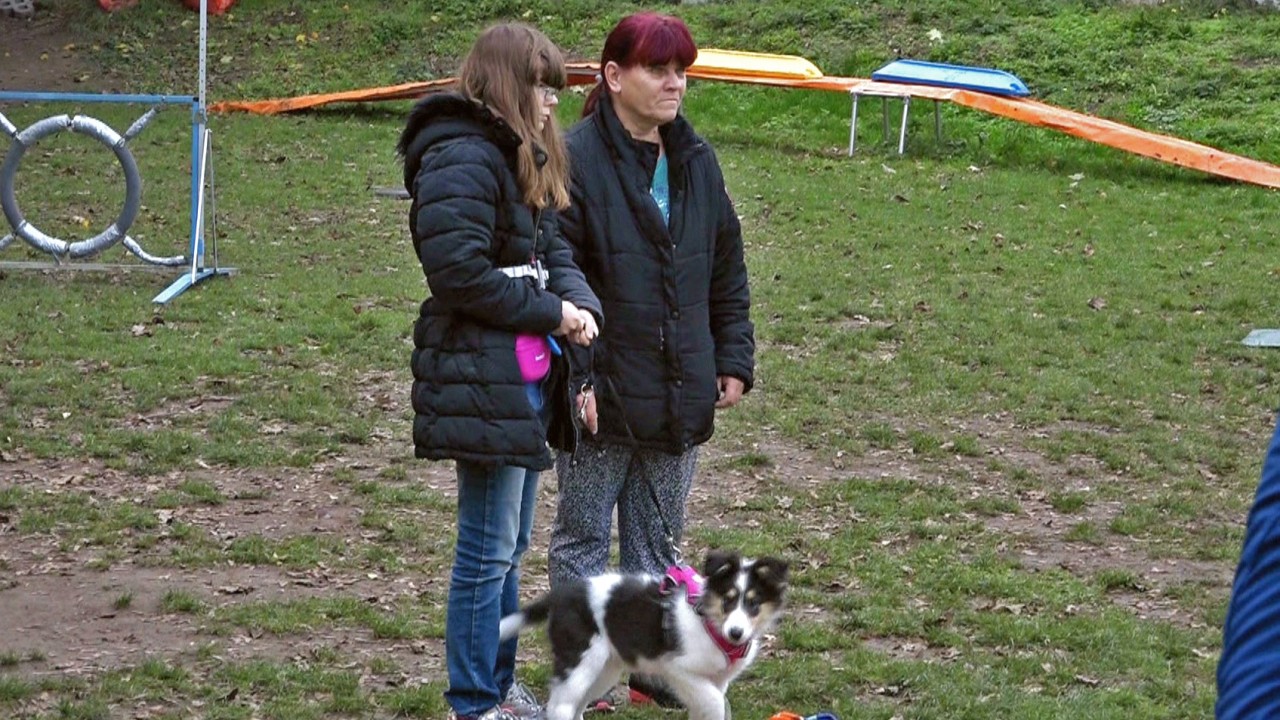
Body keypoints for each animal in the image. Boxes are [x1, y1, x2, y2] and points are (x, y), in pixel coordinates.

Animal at [496, 548, 778, 717]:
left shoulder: (718, 678)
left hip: (604, 668)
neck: (709, 621)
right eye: (728, 600)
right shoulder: (679, 669)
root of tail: (559, 596)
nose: (736, 633)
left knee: (578, 703)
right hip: (580, 659)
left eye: (753, 604)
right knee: (560, 705)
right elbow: (715, 702)